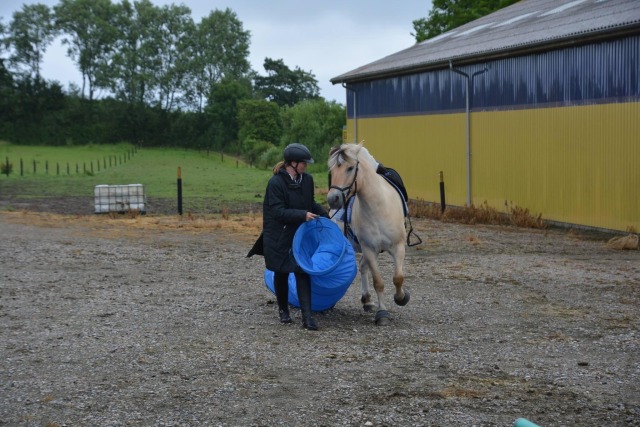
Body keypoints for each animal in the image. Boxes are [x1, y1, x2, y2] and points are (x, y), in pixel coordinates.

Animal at [328, 142, 412, 326]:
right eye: (332, 170)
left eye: (350, 168)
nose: (333, 199)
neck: (378, 207)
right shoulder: (369, 249)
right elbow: (378, 282)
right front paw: (382, 314)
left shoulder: (398, 247)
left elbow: (398, 277)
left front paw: (401, 298)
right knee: (361, 267)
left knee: (362, 266)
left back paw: (367, 300)